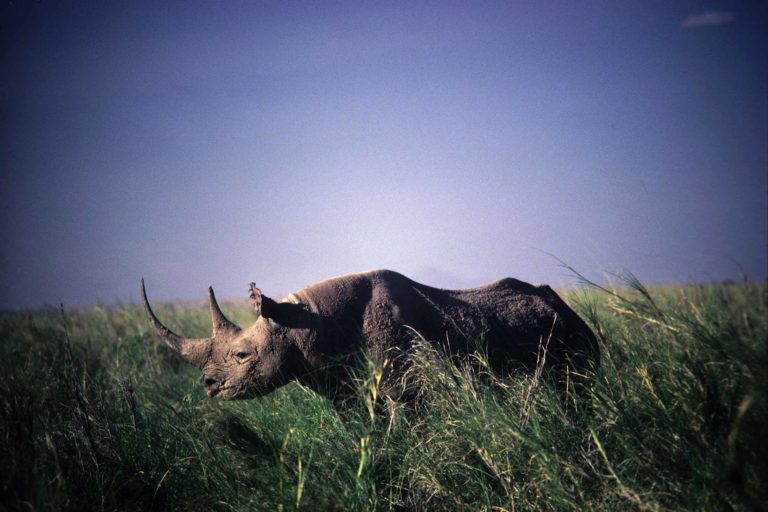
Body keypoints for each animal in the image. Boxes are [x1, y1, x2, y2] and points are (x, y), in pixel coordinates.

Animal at [142, 270, 600, 402]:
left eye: (241, 356)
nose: (208, 386)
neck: (302, 324)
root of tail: (569, 309)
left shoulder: (406, 389)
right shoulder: (339, 385)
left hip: (571, 332)